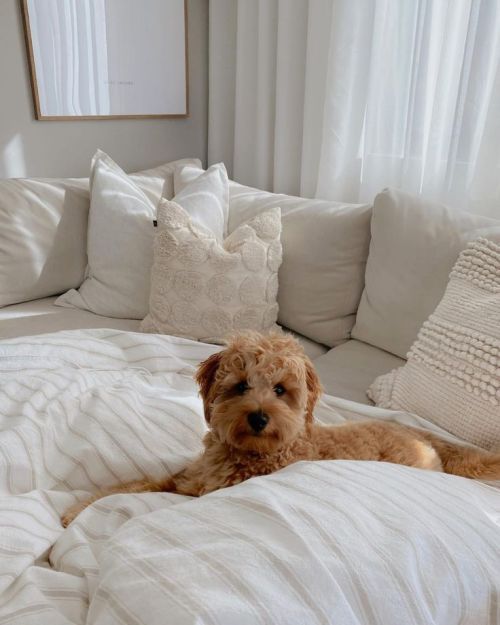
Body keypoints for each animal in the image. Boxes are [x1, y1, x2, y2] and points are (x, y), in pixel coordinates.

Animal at [61, 330, 500, 524]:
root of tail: (419, 432)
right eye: (240, 385)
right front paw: (79, 508)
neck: (251, 454)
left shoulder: (196, 494)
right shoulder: (180, 480)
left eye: (280, 389)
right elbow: (132, 484)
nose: (258, 416)